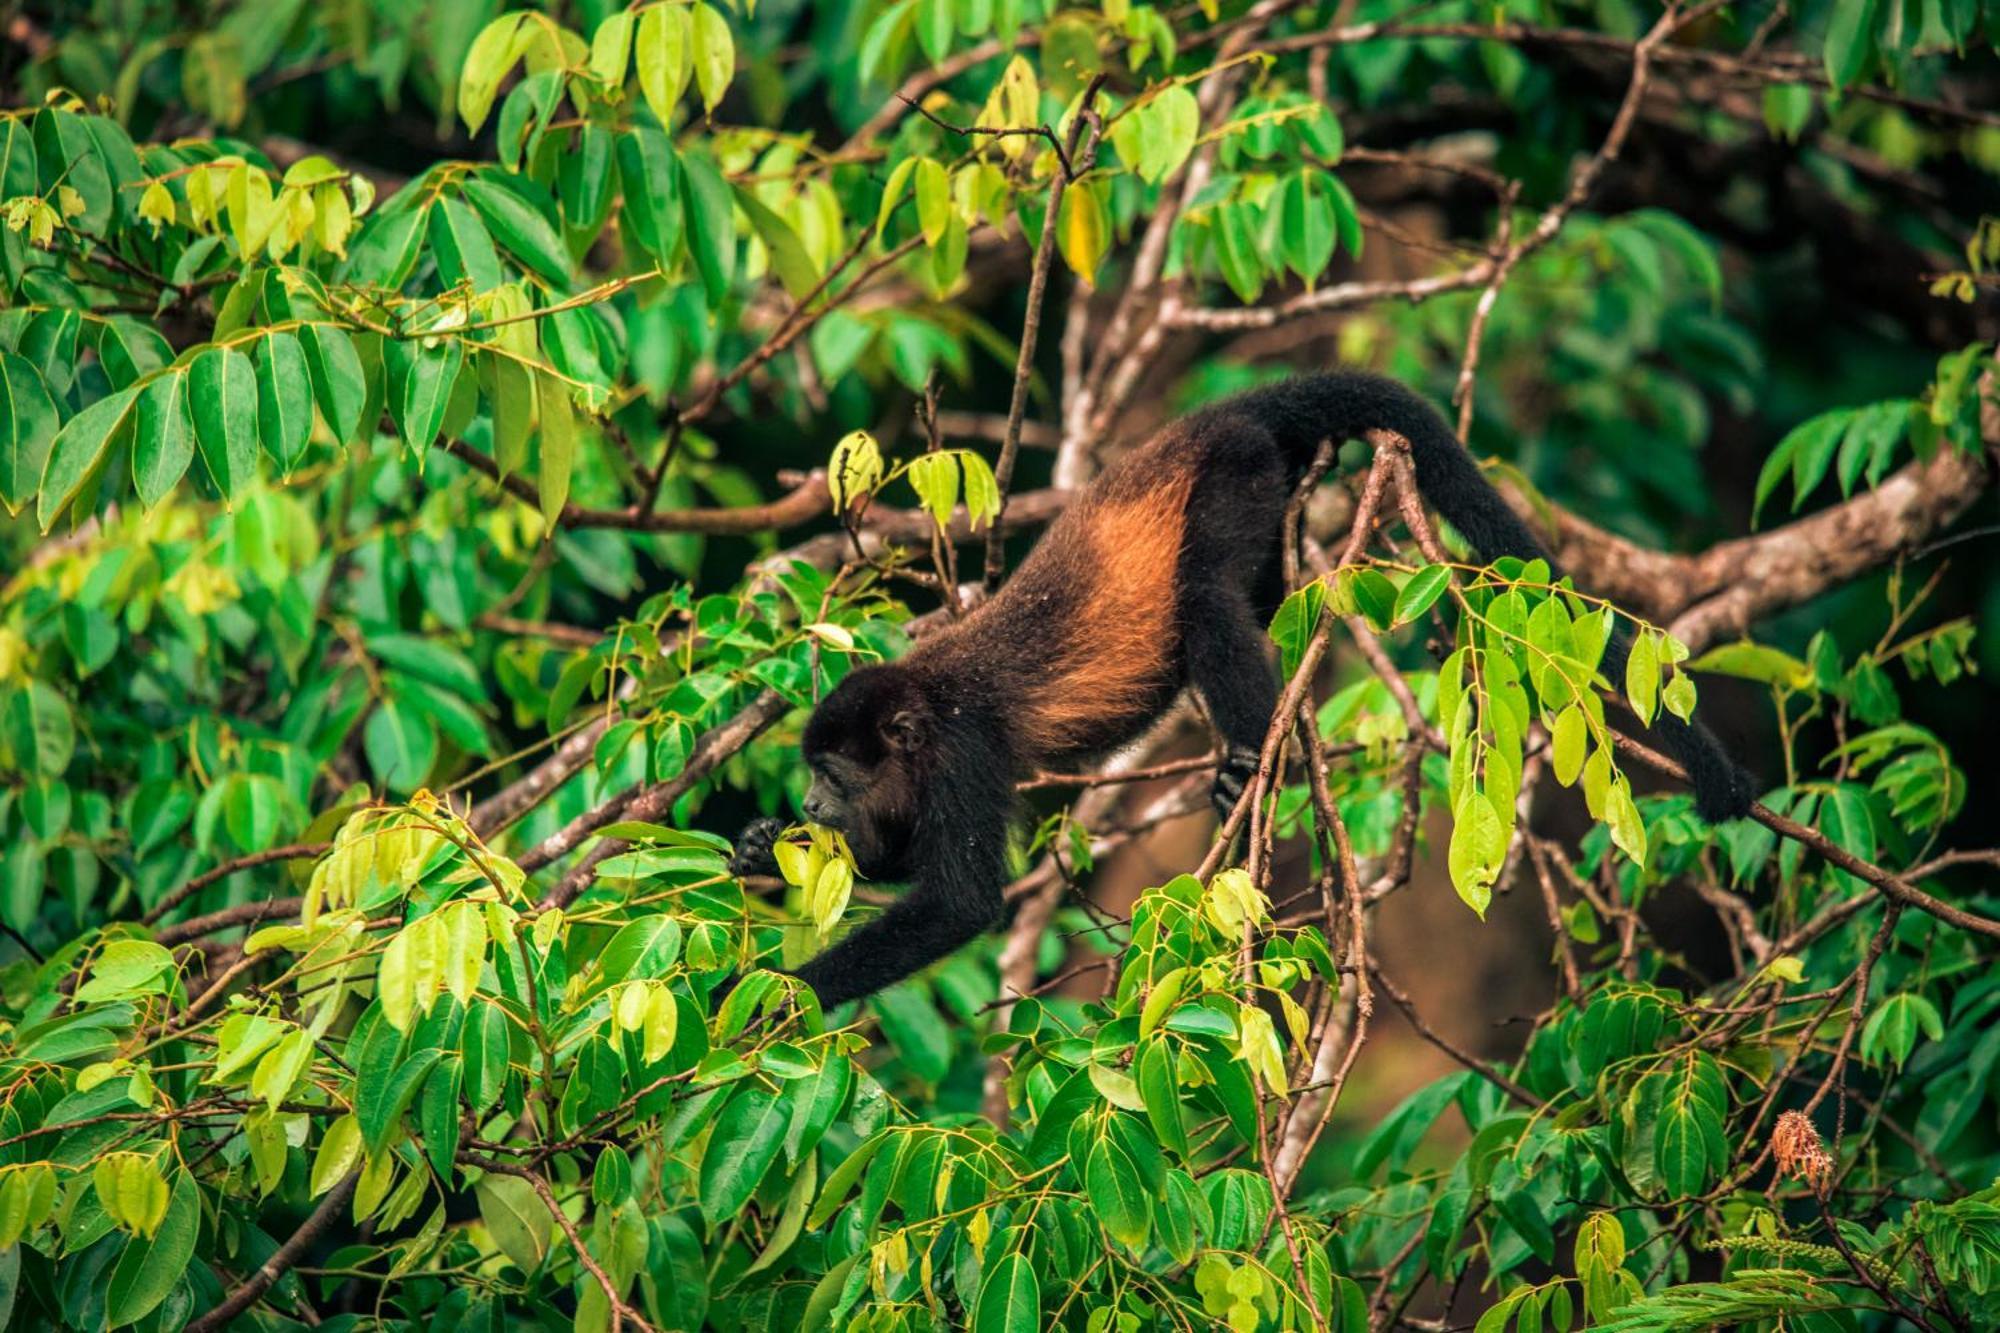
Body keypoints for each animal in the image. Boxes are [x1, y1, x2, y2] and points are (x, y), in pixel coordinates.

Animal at [732, 368, 1752, 1000]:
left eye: (836, 774)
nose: (812, 805)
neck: (922, 714)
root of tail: (1219, 414)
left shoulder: (962, 753)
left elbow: (960, 901)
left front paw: (778, 996)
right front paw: (760, 847)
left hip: (1236, 472)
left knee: (1207, 598)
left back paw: (1255, 757)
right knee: (1246, 595)